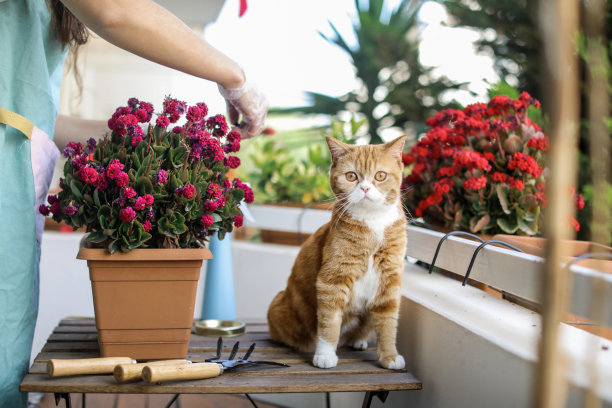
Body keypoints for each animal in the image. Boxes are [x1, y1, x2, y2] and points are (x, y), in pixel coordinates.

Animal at [266, 135, 406, 370]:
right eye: (351, 176)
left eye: (380, 176)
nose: (365, 188)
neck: (373, 224)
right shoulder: (332, 280)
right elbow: (329, 322)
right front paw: (325, 355)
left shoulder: (389, 282)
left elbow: (388, 324)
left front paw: (390, 357)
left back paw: (358, 340)